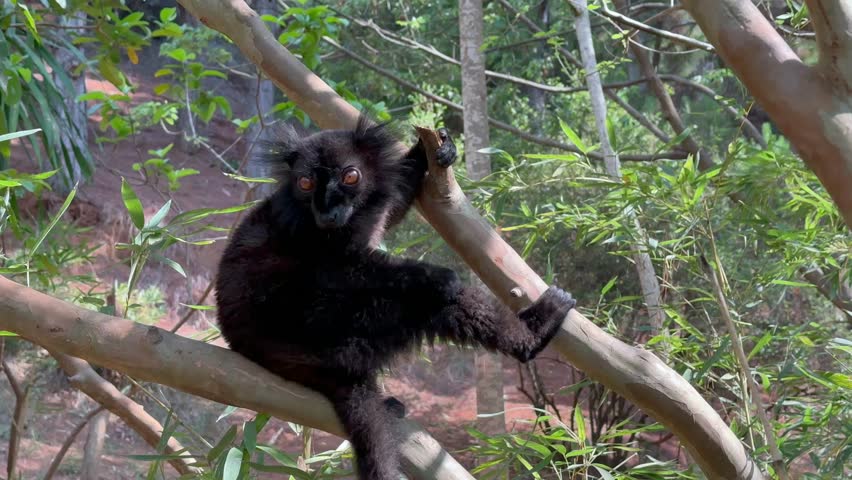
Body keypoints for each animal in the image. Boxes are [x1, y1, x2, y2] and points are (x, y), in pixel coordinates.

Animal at [214, 114, 577, 480]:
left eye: (350, 176)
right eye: (305, 183)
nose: (327, 214)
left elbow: (396, 200)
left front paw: (437, 148)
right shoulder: (307, 233)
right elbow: (343, 267)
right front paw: (440, 276)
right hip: (330, 327)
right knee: (424, 302)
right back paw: (533, 334)